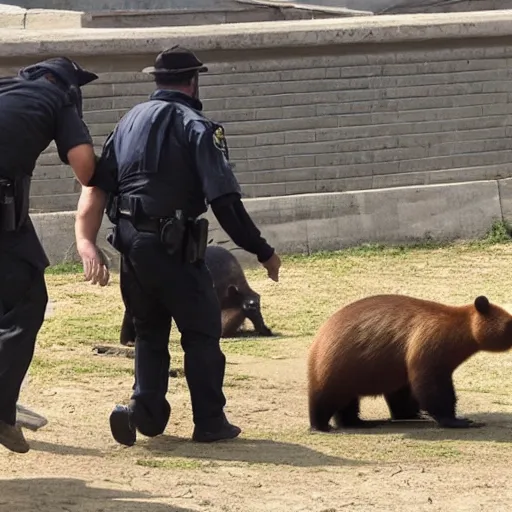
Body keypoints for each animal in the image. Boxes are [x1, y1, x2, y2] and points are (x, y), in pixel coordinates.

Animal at [306, 292, 512, 432]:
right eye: (511, 323)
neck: (459, 333)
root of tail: (318, 337)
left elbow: (405, 391)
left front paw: (414, 413)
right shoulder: (431, 344)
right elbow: (431, 386)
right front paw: (457, 420)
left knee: (349, 402)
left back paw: (359, 421)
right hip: (337, 363)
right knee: (325, 396)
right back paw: (321, 425)